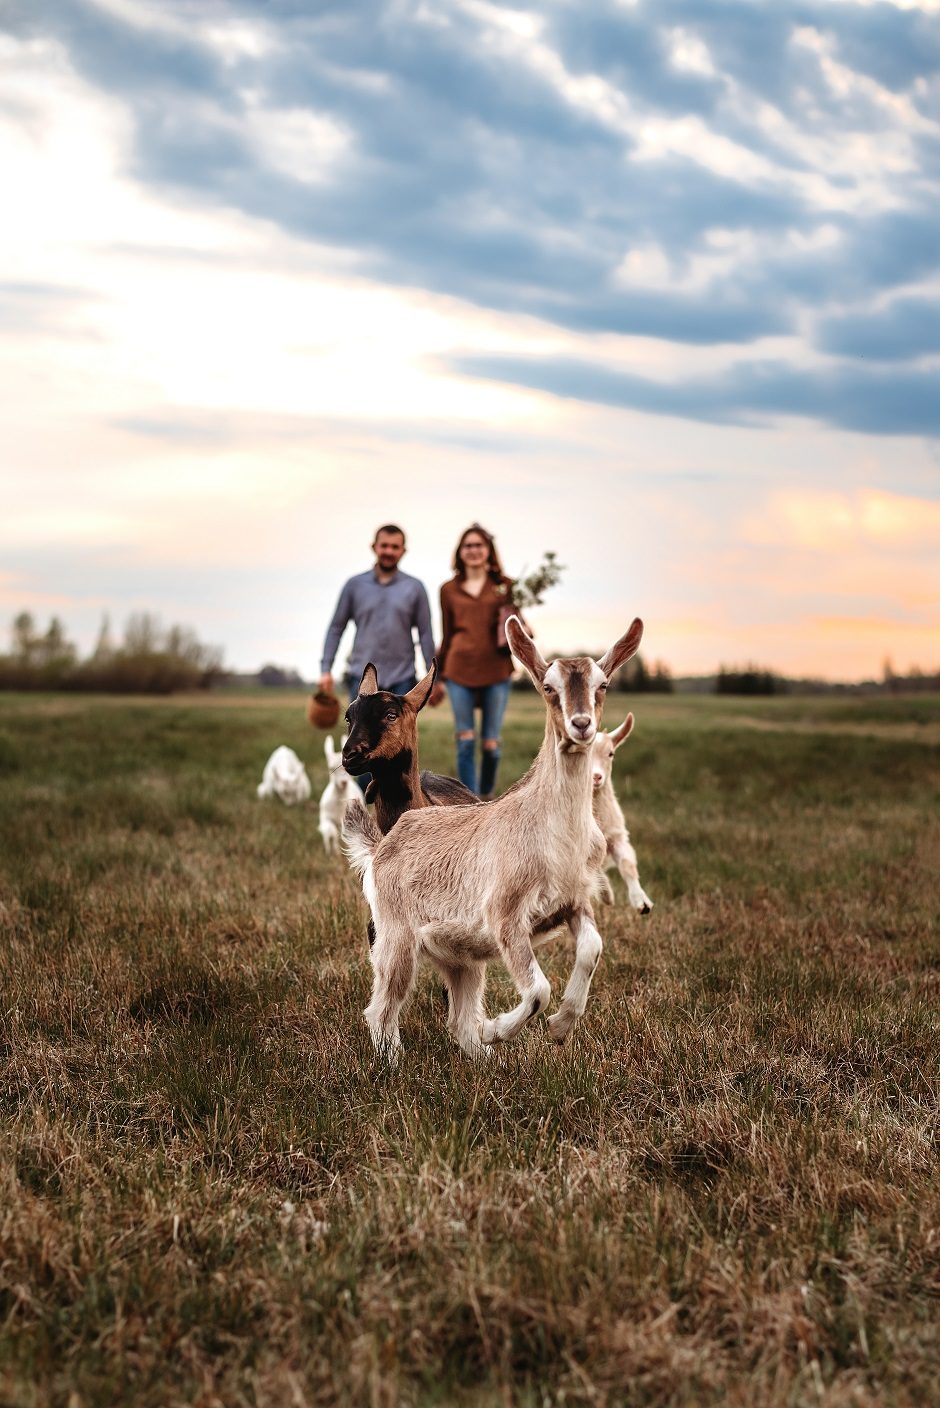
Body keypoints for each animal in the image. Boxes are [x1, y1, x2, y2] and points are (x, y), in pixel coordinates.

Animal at [344, 611, 647, 1058]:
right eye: (548, 687)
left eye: (603, 684)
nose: (581, 725)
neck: (553, 831)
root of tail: (384, 842)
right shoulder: (505, 914)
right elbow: (538, 989)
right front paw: (498, 1029)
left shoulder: (573, 901)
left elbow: (593, 949)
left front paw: (560, 1026)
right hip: (395, 936)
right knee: (381, 1007)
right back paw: (394, 1059)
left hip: (460, 956)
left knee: (457, 1013)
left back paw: (481, 1055)